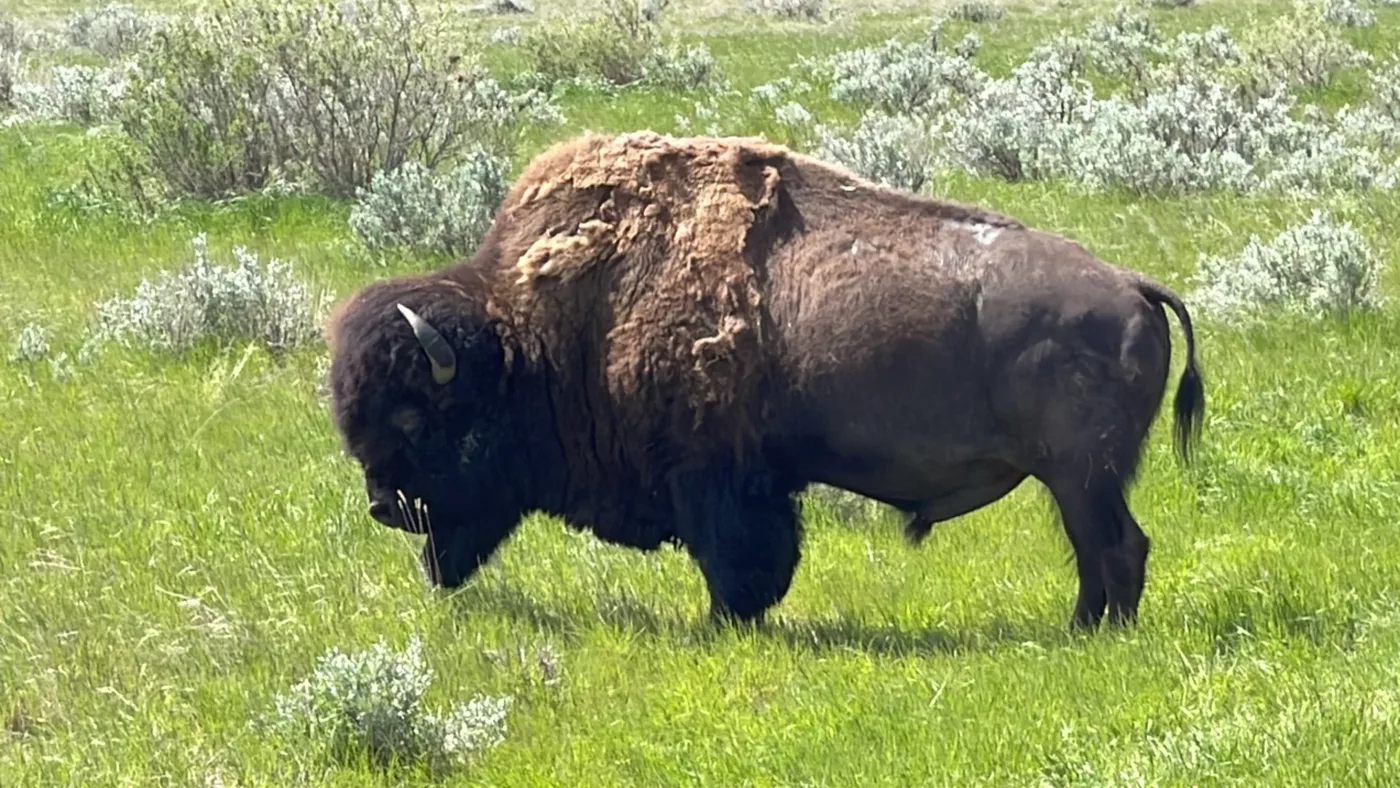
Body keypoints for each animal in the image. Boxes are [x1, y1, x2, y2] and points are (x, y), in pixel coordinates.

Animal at [327, 132, 1204, 632]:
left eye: (417, 417)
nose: (383, 507)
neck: (538, 332)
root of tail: (1131, 285)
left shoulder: (716, 479)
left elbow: (738, 561)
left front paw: (720, 624)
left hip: (1081, 474)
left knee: (1115, 546)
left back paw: (1093, 635)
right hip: (1075, 478)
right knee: (1101, 551)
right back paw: (1083, 629)